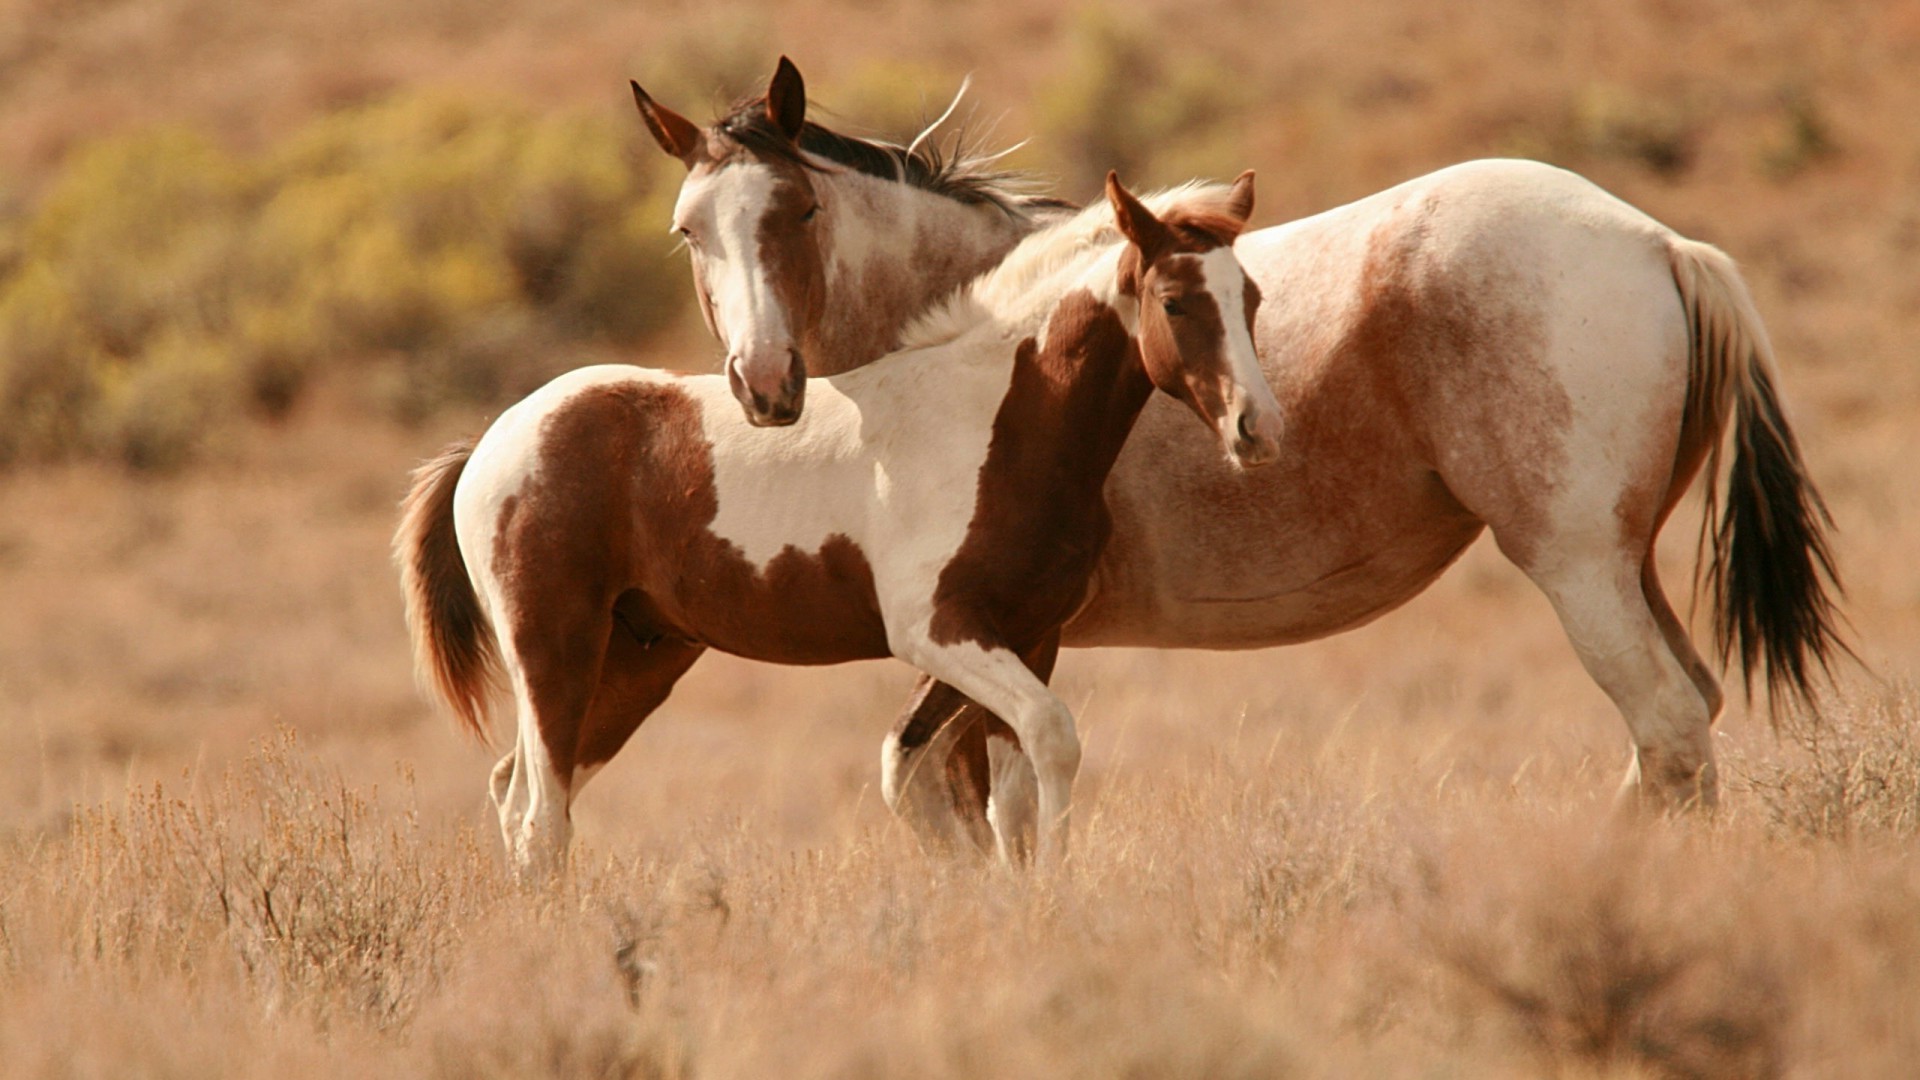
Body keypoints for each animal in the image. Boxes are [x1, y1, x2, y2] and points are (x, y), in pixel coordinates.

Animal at [395, 171, 1282, 868]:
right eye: (1174, 301)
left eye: (1252, 298)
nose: (1259, 428)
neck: (997, 423)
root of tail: (494, 439)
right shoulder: (936, 632)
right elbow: (1053, 736)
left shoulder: (1031, 634)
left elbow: (1015, 795)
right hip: (554, 649)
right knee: (540, 818)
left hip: (634, 661)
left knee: (518, 795)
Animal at [629, 58, 1843, 853]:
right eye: (690, 229)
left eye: (795, 209)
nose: (763, 384)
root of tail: (1659, 242)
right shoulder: (1002, 645)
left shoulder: (990, 639)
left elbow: (961, 799)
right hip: (1626, 565)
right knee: (1681, 728)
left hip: (1579, 567)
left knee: (1669, 729)